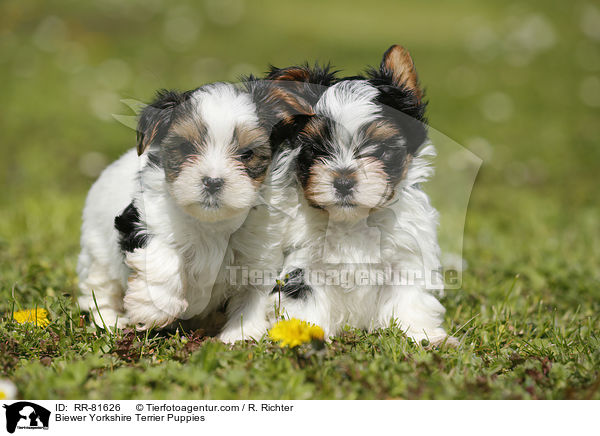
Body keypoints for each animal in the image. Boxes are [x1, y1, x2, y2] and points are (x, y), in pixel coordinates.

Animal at [78, 79, 284, 330]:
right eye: (186, 148)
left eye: (247, 154)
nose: (212, 182)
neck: (212, 223)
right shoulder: (143, 218)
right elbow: (162, 254)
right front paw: (153, 308)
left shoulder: (259, 252)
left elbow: (252, 294)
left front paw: (242, 333)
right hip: (98, 250)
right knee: (101, 286)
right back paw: (110, 320)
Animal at [218, 46, 458, 348]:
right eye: (314, 149)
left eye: (380, 149)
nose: (343, 181)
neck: (351, 221)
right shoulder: (302, 265)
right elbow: (304, 299)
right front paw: (305, 335)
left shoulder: (405, 258)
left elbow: (409, 298)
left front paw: (422, 335)